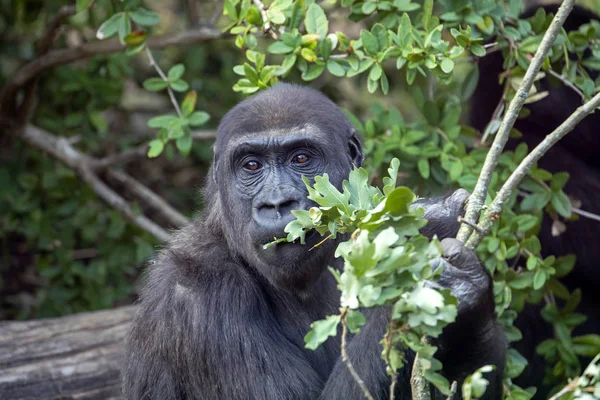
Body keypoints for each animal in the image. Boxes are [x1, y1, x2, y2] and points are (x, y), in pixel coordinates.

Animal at [120, 83, 502, 398]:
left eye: (301, 158)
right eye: (251, 165)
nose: (277, 202)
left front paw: (466, 288)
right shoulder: (197, 297)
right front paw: (428, 229)